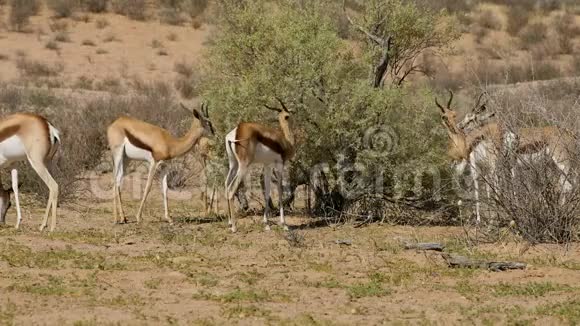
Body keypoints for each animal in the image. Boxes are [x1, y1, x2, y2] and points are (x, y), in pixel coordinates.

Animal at [223, 98, 294, 233]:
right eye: (287, 116)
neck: (285, 141)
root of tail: (238, 130)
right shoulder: (280, 165)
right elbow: (280, 190)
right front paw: (284, 224)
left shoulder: (267, 165)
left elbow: (267, 192)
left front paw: (266, 224)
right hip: (243, 165)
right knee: (231, 189)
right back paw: (234, 227)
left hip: (233, 164)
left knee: (226, 185)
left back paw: (229, 223)